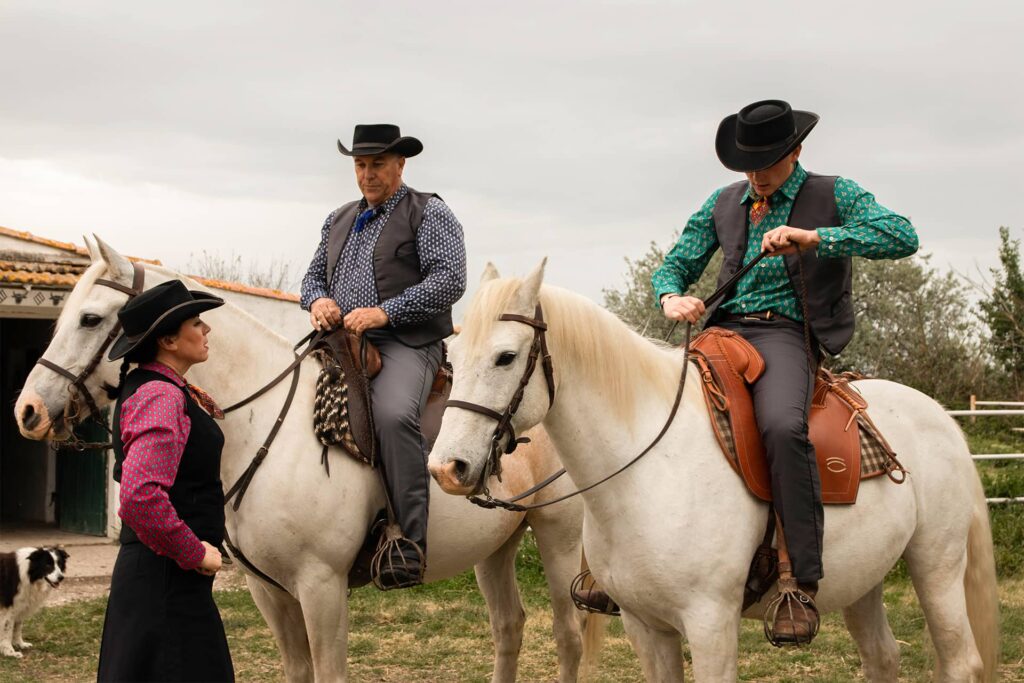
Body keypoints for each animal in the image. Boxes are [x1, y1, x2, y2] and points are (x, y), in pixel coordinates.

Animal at [14, 241, 598, 683]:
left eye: (90, 319)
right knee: (508, 627)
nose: (28, 411)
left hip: (557, 534)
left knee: (568, 636)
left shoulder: (321, 586)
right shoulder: (269, 591)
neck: (264, 428)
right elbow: (297, 671)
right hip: (496, 547)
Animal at [430, 264, 999, 683]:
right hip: (865, 580)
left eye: (506, 357)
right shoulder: (646, 627)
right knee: (883, 658)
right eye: (452, 355)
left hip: (936, 566)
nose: (448, 468)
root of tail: (942, 418)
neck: (646, 471)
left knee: (961, 662)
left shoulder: (710, 625)